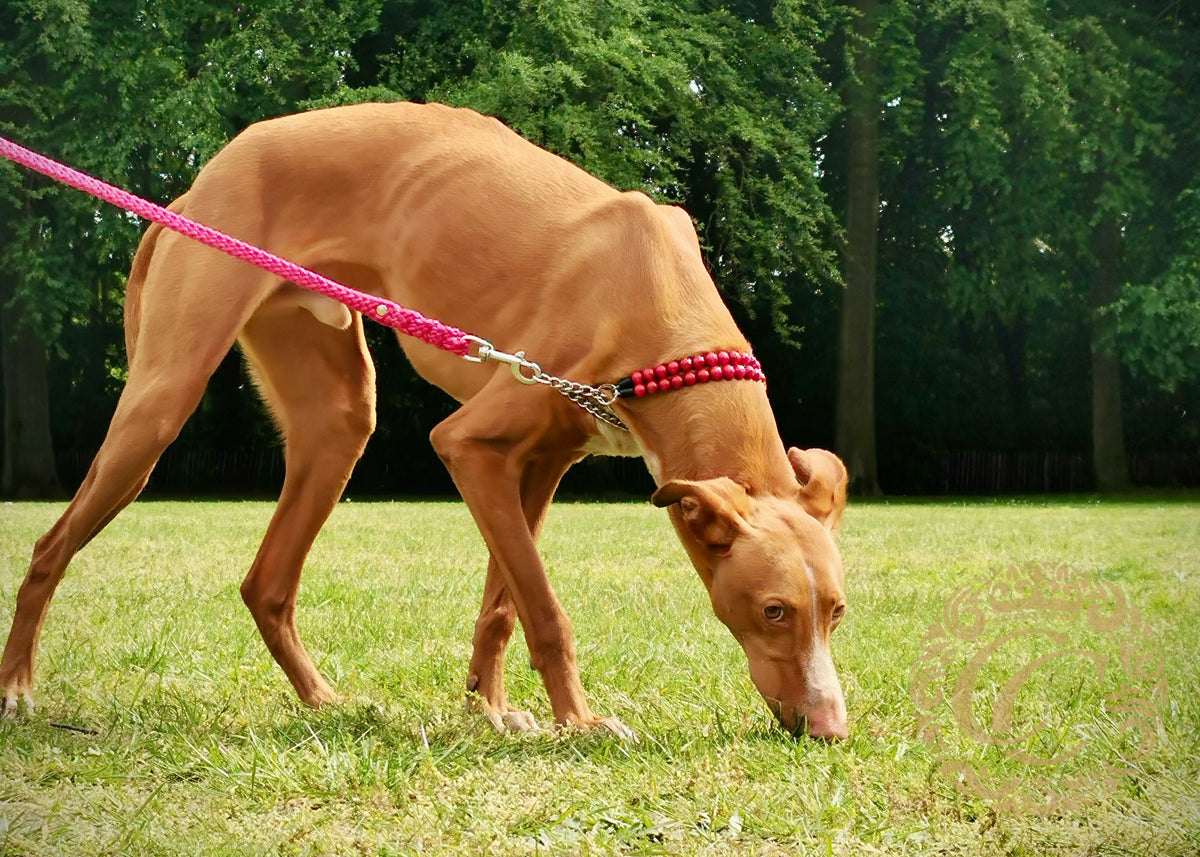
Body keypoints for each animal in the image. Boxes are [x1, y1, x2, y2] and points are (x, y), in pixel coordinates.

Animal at [0, 103, 849, 739]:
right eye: (773, 609)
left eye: (837, 611)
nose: (831, 732)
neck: (660, 309)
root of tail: (192, 193)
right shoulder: (468, 445)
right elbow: (544, 607)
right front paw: (578, 721)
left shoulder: (538, 463)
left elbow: (503, 604)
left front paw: (492, 708)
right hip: (159, 403)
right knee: (48, 546)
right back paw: (17, 689)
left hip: (337, 422)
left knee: (266, 583)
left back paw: (322, 702)